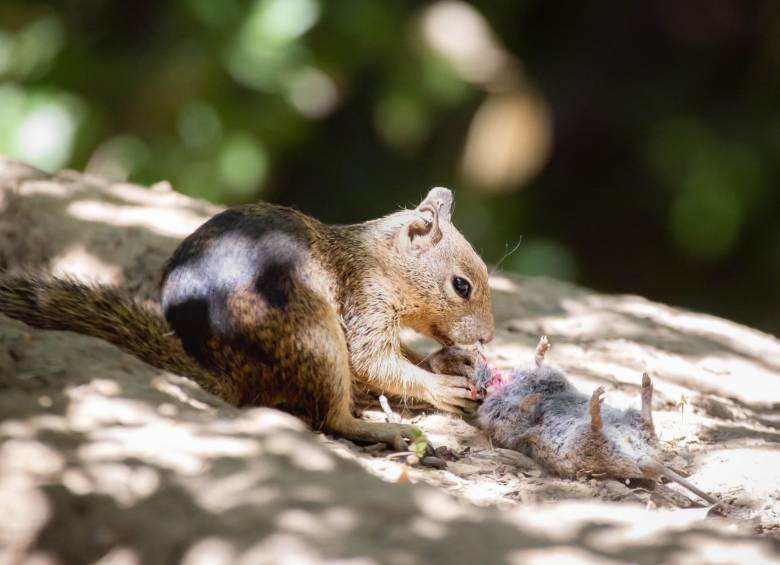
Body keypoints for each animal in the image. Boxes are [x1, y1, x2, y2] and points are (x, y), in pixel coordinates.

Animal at [0, 187, 494, 448]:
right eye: (461, 286)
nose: (489, 337)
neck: (379, 260)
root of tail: (231, 375)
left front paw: (452, 361)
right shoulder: (365, 302)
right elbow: (372, 362)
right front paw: (442, 386)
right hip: (316, 337)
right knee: (331, 418)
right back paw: (382, 429)